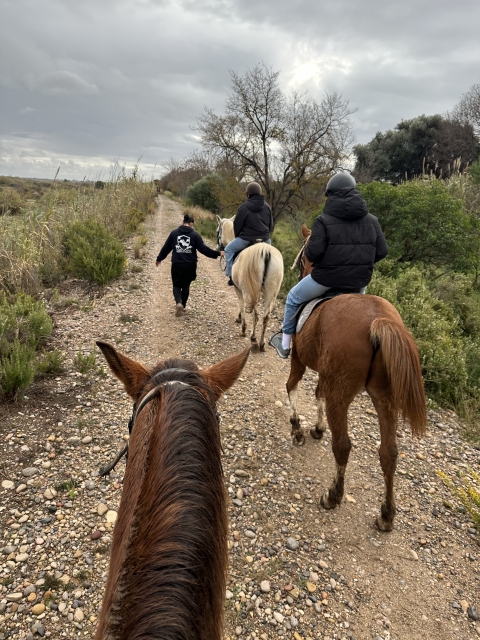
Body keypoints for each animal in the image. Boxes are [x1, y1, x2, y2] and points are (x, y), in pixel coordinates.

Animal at [217, 218, 284, 352]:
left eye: (218, 231)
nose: (218, 249)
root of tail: (265, 251)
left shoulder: (238, 288)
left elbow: (241, 304)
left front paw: (242, 325)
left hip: (251, 291)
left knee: (256, 314)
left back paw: (252, 337)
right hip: (271, 293)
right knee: (265, 317)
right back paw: (261, 343)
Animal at [286, 224, 427, 532]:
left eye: (305, 253)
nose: (299, 269)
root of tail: (377, 321)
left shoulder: (298, 360)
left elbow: (292, 388)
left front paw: (298, 429)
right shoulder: (326, 375)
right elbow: (318, 394)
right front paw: (317, 428)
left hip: (344, 393)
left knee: (343, 445)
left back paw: (333, 495)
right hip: (385, 397)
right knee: (389, 453)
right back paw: (386, 514)